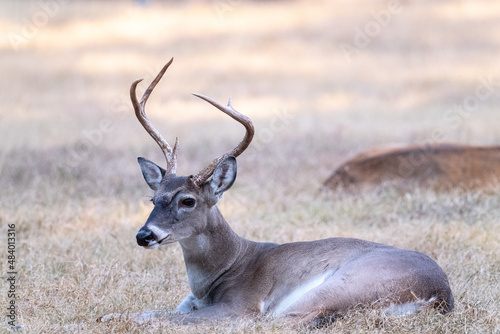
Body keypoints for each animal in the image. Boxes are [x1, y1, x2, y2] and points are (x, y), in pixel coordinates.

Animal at [99, 58, 456, 324]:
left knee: (287, 320)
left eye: (188, 200)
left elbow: (165, 320)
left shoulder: (239, 304)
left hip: (343, 283)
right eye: (153, 198)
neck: (219, 273)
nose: (144, 235)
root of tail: (441, 296)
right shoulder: (187, 302)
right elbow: (137, 314)